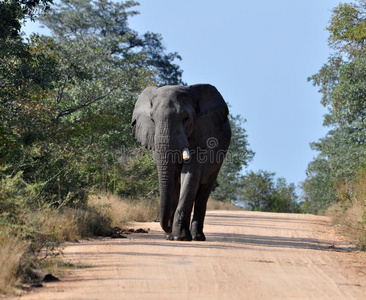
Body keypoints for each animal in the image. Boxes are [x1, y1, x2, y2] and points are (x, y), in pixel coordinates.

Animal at [130, 84, 230, 241]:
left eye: (186, 118)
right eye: (152, 119)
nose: (167, 228)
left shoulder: (202, 133)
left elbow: (190, 174)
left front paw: (180, 237)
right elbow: (173, 179)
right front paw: (171, 236)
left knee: (204, 191)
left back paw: (197, 237)